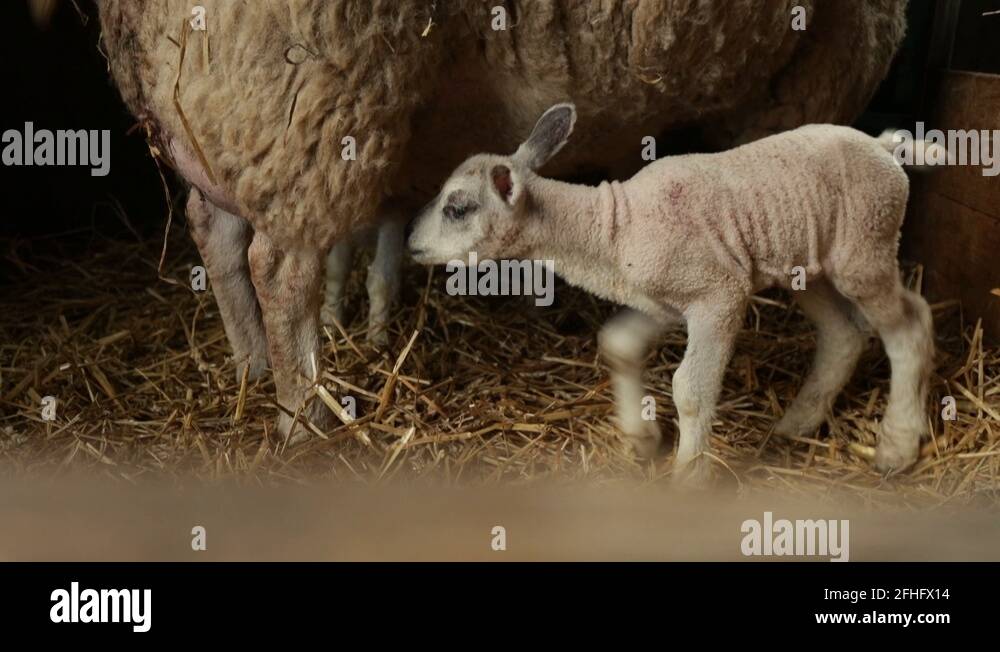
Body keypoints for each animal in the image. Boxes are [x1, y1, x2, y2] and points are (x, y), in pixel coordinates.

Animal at [95, 0, 908, 438]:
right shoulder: (820, 65)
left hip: (222, 112)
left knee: (220, 238)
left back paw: (250, 369)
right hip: (306, 86)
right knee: (279, 266)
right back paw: (302, 412)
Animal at [406, 103, 935, 483]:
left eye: (457, 208)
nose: (410, 240)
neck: (611, 228)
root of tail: (882, 145)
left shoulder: (718, 293)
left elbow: (691, 391)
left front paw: (687, 476)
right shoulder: (660, 303)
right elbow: (617, 345)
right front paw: (642, 439)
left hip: (864, 244)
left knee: (909, 324)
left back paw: (896, 446)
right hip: (810, 265)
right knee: (843, 333)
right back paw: (795, 426)